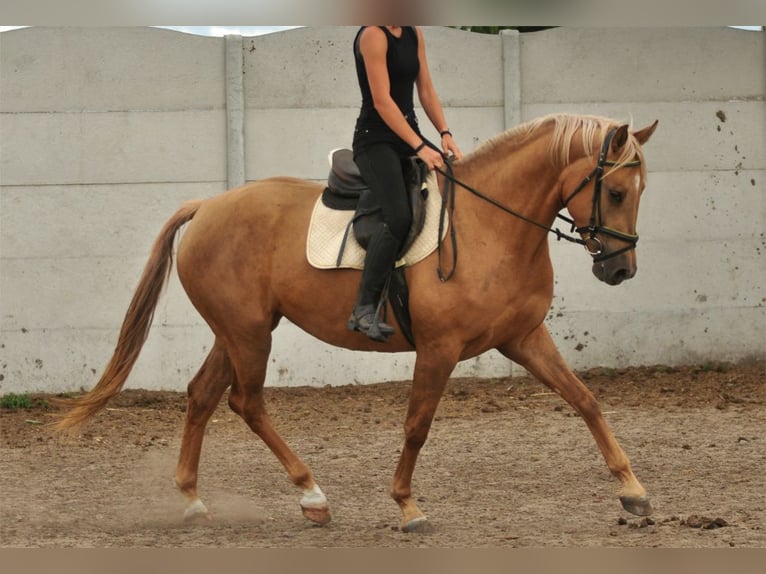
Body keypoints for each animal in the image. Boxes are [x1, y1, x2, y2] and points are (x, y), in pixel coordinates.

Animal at [54, 113, 659, 533]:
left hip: (238, 331)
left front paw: (632, 490)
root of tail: (208, 206)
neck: (490, 226)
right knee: (246, 403)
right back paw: (311, 495)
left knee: (203, 395)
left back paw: (193, 499)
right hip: (249, 334)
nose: (621, 270)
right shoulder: (439, 349)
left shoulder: (523, 338)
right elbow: (417, 426)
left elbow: (585, 400)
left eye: (639, 191)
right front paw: (407, 506)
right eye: (615, 191)